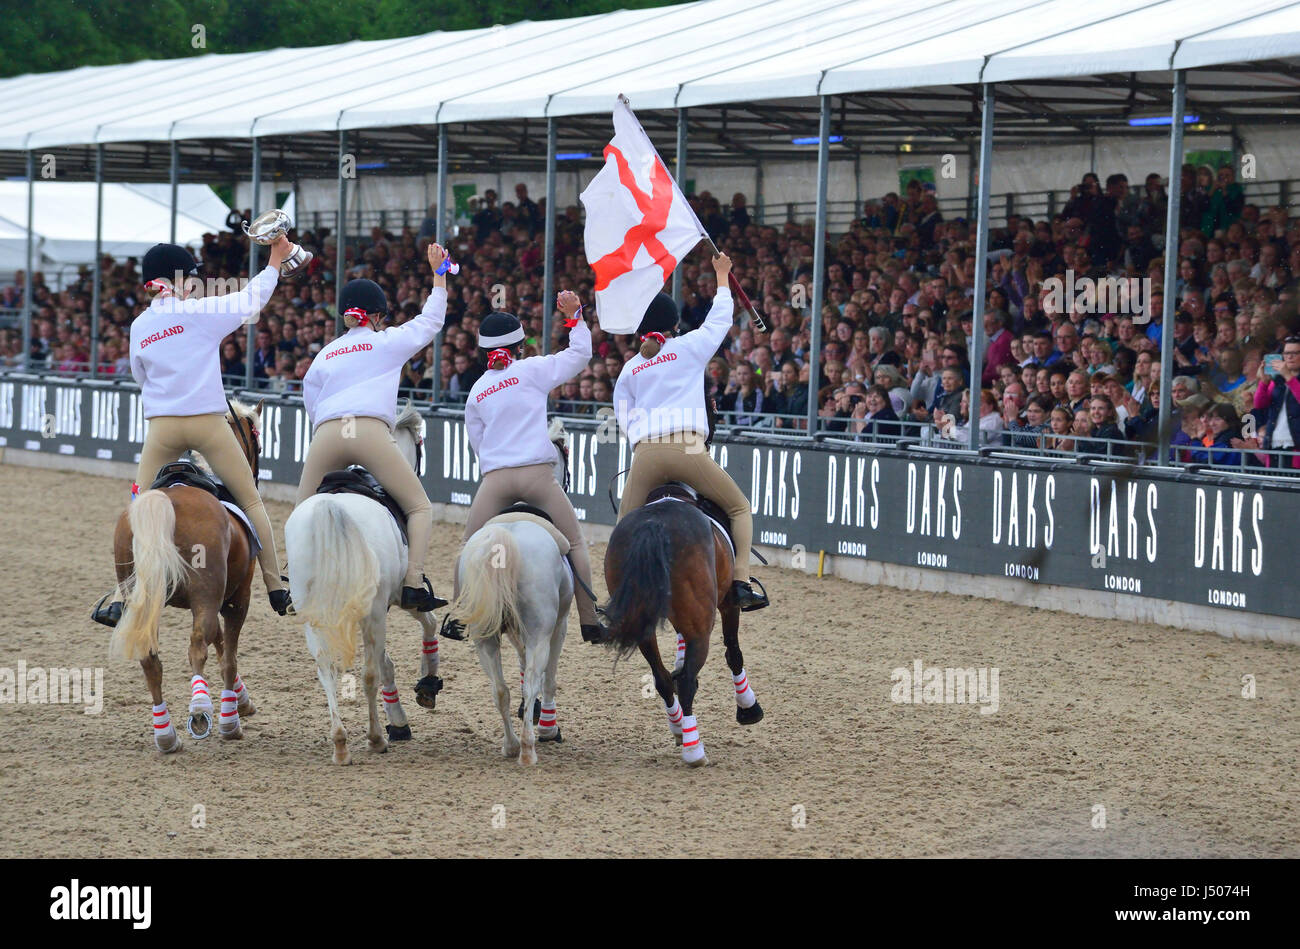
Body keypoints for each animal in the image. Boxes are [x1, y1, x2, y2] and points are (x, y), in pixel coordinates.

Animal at [111, 395, 263, 748]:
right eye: (259, 445)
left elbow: (219, 643)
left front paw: (241, 700)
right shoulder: (236, 598)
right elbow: (227, 655)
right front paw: (232, 715)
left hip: (144, 596)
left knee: (151, 656)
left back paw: (166, 735)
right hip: (208, 594)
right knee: (196, 645)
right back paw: (202, 710)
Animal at [283, 400, 436, 759]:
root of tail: (331, 507)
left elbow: (386, 662)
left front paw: (399, 718)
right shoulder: (400, 599)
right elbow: (428, 625)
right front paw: (426, 687)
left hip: (313, 613)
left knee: (326, 668)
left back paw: (340, 741)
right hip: (374, 611)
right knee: (368, 674)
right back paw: (375, 737)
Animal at [457, 418, 579, 759]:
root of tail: (504, 538)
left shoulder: (513, 630)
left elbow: (523, 665)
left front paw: (532, 712)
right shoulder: (559, 626)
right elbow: (547, 677)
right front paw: (548, 727)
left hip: (484, 637)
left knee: (500, 689)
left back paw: (511, 745)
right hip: (541, 630)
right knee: (534, 680)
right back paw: (528, 746)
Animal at [605, 488, 764, 759]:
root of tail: (655, 524)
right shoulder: (728, 605)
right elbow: (733, 653)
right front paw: (748, 707)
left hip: (643, 626)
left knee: (662, 679)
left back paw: (678, 727)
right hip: (702, 626)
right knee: (688, 680)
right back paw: (693, 749)